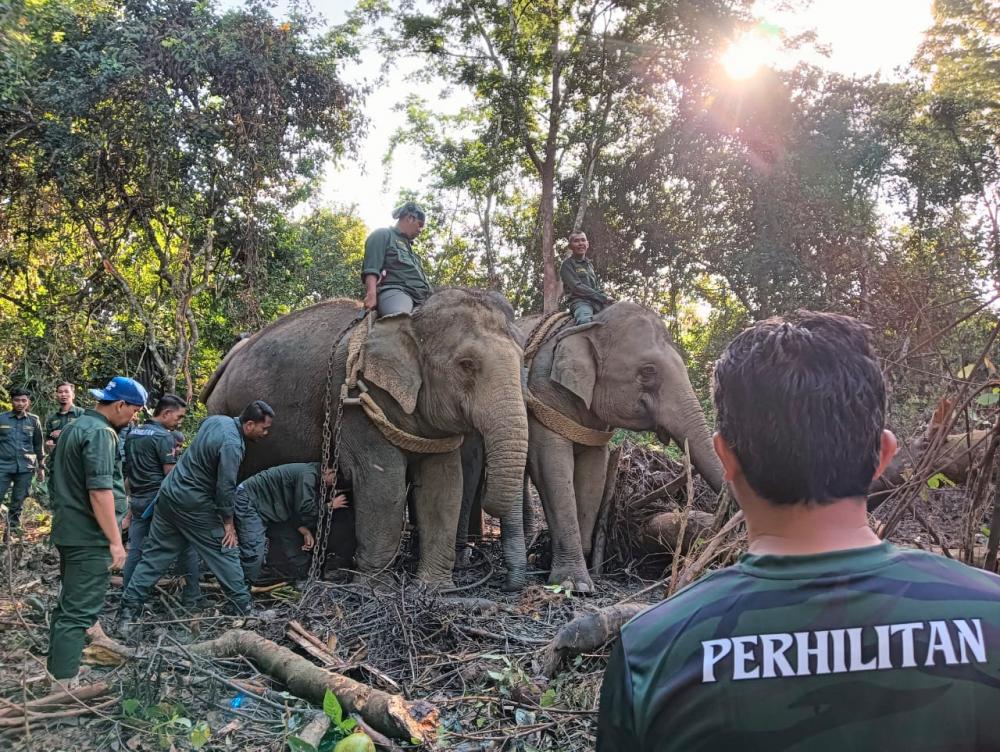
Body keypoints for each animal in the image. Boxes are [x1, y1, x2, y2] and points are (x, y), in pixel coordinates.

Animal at [202, 290, 532, 592]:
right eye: (466, 364)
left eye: (522, 361)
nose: (508, 587)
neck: (411, 318)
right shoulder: (355, 401)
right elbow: (383, 486)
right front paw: (375, 590)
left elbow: (444, 485)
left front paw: (436, 589)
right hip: (223, 411)